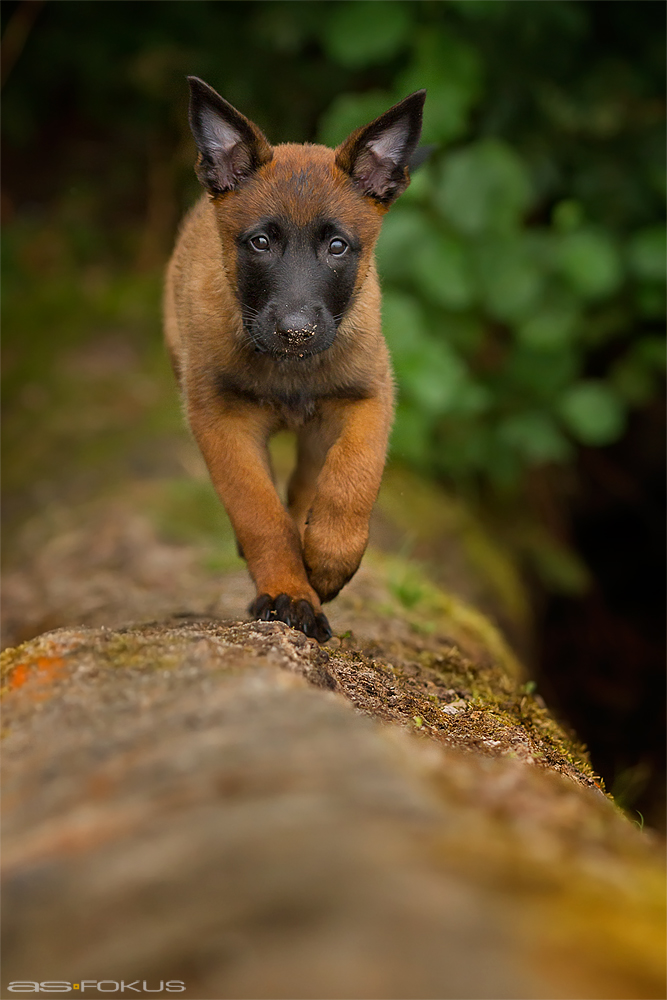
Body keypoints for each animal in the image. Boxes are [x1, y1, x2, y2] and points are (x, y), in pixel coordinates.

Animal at [164, 78, 426, 640]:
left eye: (337, 246)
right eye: (261, 242)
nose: (296, 331)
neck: (289, 368)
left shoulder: (369, 397)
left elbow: (353, 477)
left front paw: (327, 561)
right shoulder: (220, 419)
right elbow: (258, 511)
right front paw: (288, 590)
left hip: (319, 429)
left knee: (310, 481)